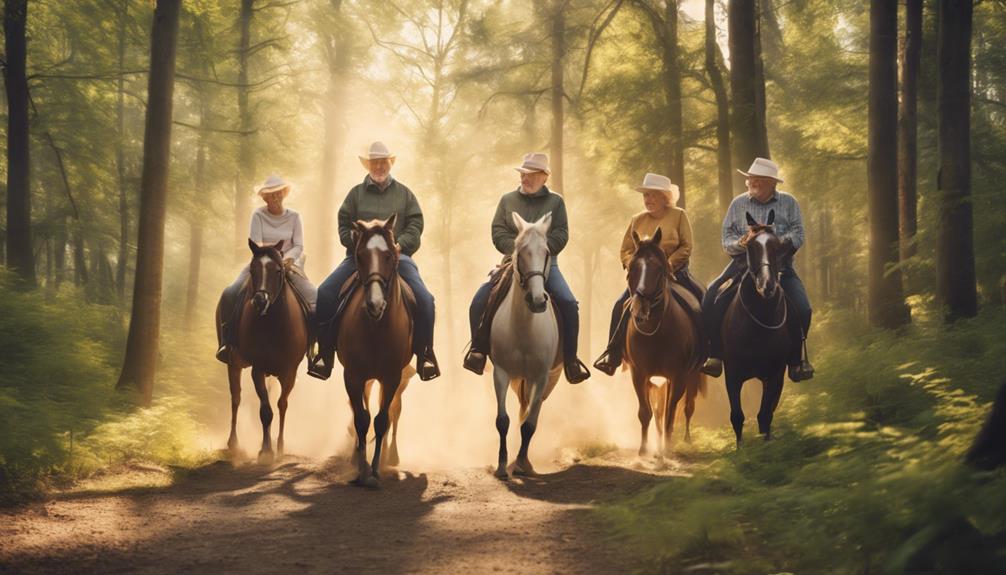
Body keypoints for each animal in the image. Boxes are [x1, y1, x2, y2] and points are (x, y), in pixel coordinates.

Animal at [213, 239, 303, 462]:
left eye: (278, 270)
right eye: (253, 269)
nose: (260, 301)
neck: (273, 325)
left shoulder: (289, 371)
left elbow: (282, 405)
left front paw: (279, 446)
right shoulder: (258, 369)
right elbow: (265, 411)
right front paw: (266, 450)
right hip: (233, 363)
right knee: (235, 398)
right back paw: (233, 443)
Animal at [340, 214, 414, 484]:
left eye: (389, 256)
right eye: (360, 256)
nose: (375, 304)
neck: (376, 328)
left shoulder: (391, 378)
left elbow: (383, 419)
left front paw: (375, 469)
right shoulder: (353, 376)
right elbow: (361, 418)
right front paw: (361, 469)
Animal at [488, 213, 563, 478]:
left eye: (546, 252)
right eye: (520, 252)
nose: (537, 300)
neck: (524, 329)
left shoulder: (540, 377)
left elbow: (530, 424)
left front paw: (521, 464)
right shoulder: (501, 373)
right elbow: (503, 421)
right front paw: (502, 465)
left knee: (530, 411)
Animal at [619, 227, 708, 456]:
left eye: (658, 268)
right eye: (632, 267)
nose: (640, 309)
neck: (655, 334)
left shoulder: (678, 376)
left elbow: (670, 412)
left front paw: (666, 450)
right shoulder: (639, 374)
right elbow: (645, 411)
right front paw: (643, 449)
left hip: (691, 375)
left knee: (687, 407)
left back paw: (685, 440)